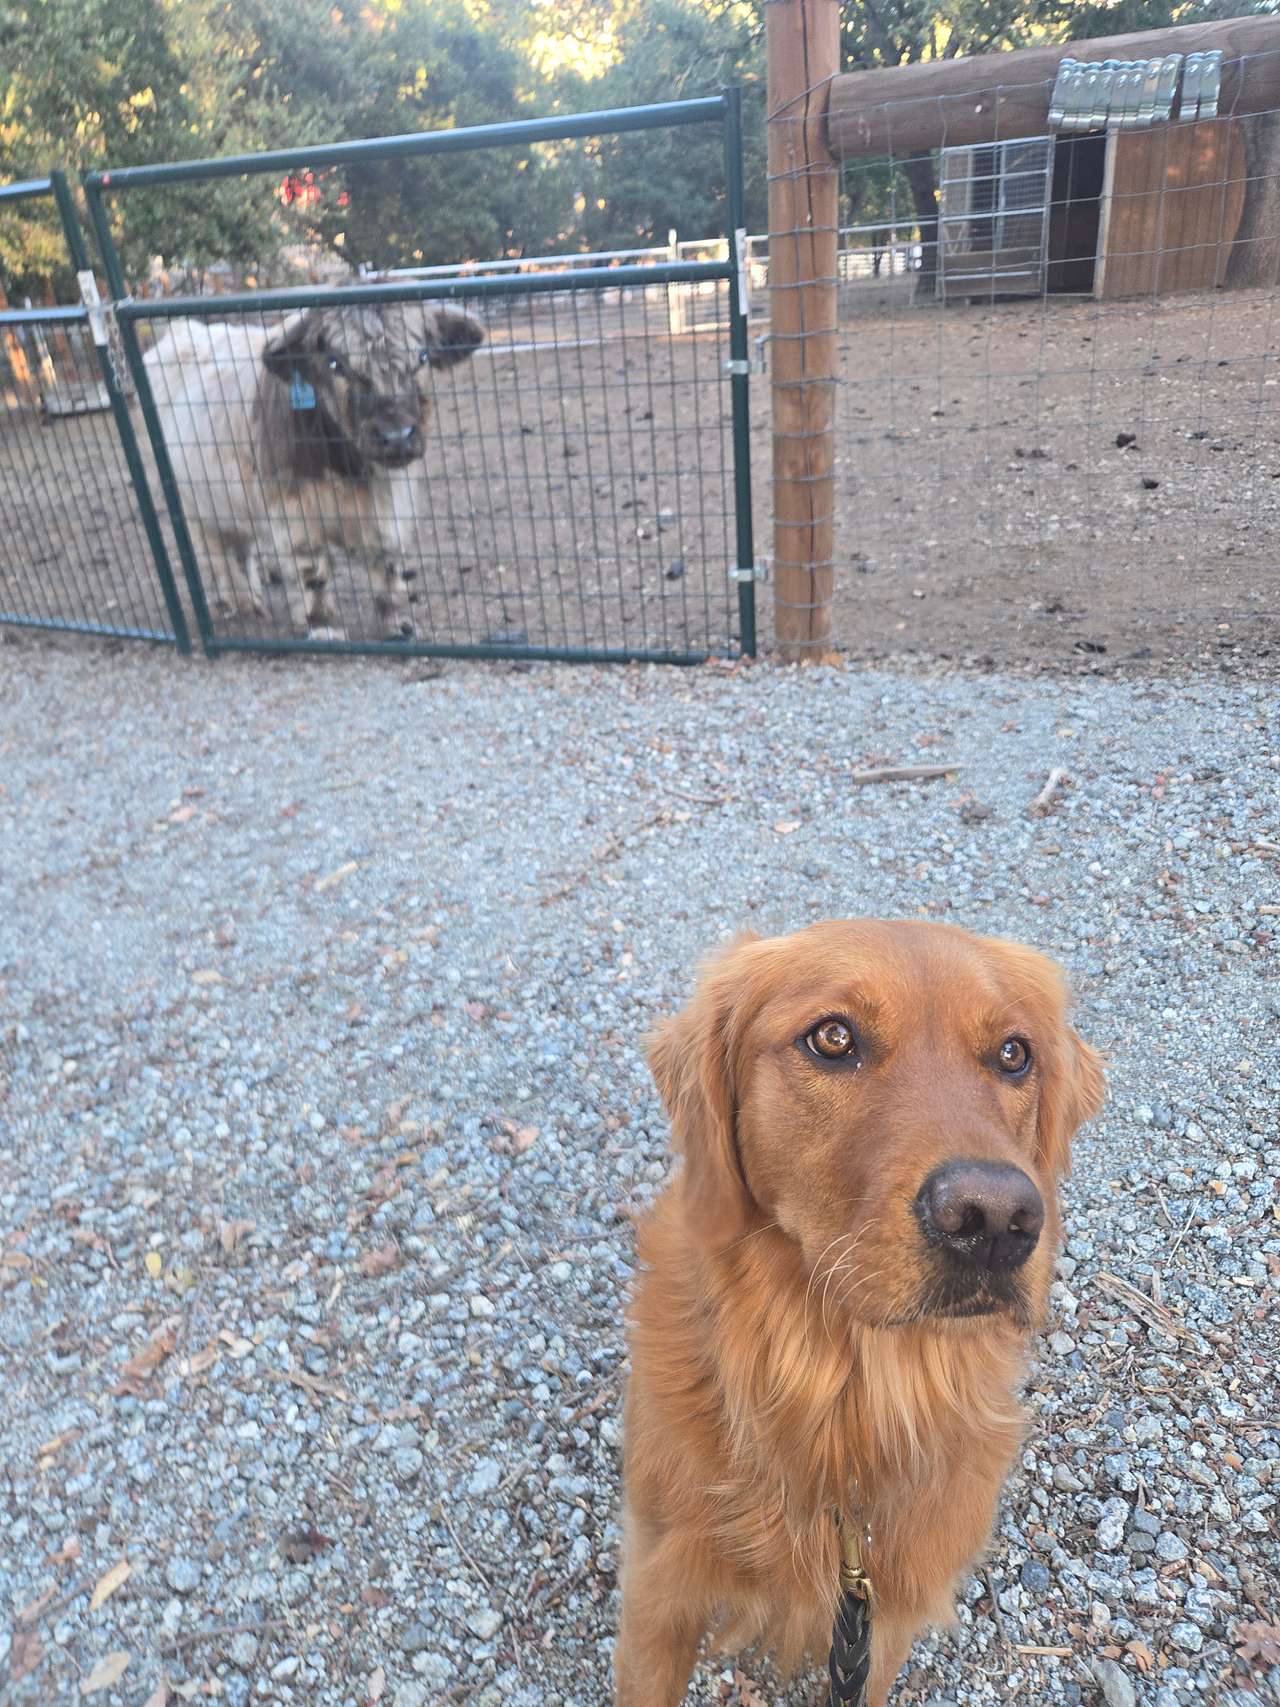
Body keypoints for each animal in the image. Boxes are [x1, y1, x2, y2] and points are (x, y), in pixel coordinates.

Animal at [142, 299, 485, 640]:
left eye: (423, 356)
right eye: (334, 363)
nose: (397, 437)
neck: (350, 471)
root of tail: (183, 329)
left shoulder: (390, 508)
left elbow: (388, 568)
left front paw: (399, 624)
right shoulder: (294, 515)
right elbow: (313, 574)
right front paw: (322, 626)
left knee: (242, 549)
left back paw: (254, 600)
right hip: (191, 503)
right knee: (215, 553)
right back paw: (231, 603)